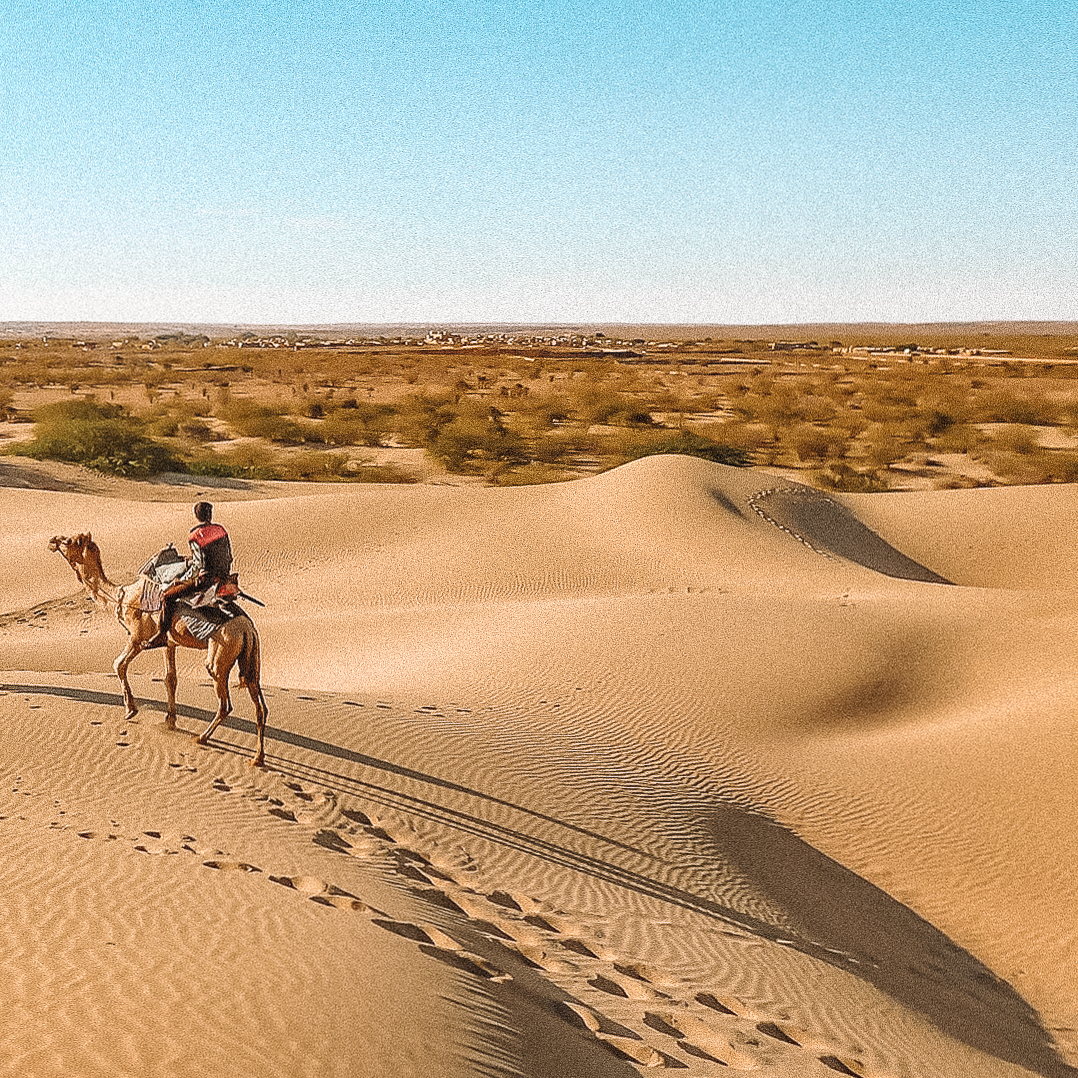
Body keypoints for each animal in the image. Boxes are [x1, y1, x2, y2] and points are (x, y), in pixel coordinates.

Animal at [49, 530, 269, 767]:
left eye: (68, 541)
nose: (52, 541)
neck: (122, 596)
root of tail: (248, 629)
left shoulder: (137, 638)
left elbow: (118, 665)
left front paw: (131, 710)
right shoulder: (169, 642)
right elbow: (170, 679)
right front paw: (170, 721)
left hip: (221, 653)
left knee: (224, 701)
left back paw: (202, 738)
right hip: (251, 657)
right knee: (260, 705)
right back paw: (258, 757)